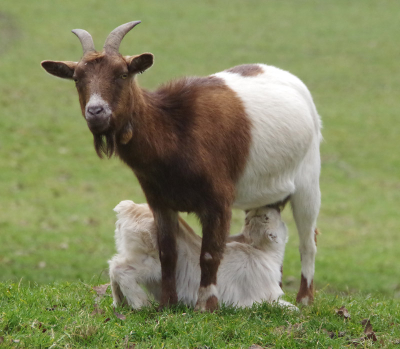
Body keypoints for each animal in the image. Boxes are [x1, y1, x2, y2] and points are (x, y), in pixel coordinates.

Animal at [109, 200, 296, 308]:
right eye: (267, 218)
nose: (273, 206)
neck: (259, 250)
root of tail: (128, 209)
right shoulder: (263, 297)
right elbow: (288, 307)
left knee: (114, 265)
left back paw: (119, 303)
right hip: (151, 264)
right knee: (121, 270)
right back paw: (141, 304)